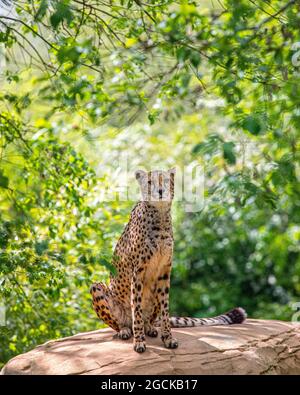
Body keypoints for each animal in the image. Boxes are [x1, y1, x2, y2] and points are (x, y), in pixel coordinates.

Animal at [91, 169, 246, 354]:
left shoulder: (165, 270)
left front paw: (168, 338)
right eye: (149, 182)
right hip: (97, 287)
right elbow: (136, 307)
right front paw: (139, 342)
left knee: (150, 319)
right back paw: (126, 330)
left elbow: (165, 308)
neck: (159, 216)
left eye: (165, 180)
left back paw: (150, 328)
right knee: (120, 323)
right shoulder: (138, 271)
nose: (160, 191)